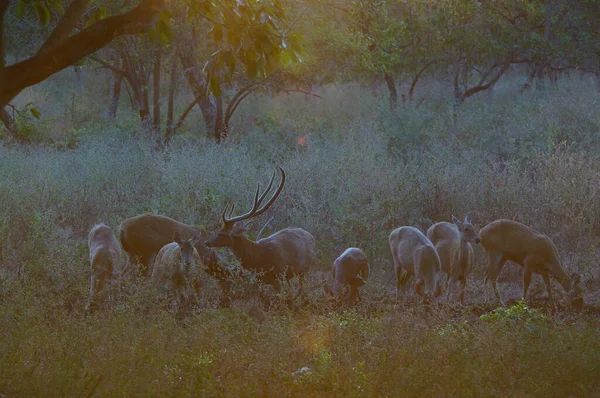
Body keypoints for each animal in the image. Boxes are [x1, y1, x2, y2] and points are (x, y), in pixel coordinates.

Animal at [206, 166, 316, 296]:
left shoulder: (278, 275)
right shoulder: (258, 279)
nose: (207, 242)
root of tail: (311, 237)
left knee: (301, 288)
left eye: (221, 233)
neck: (257, 258)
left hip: (305, 269)